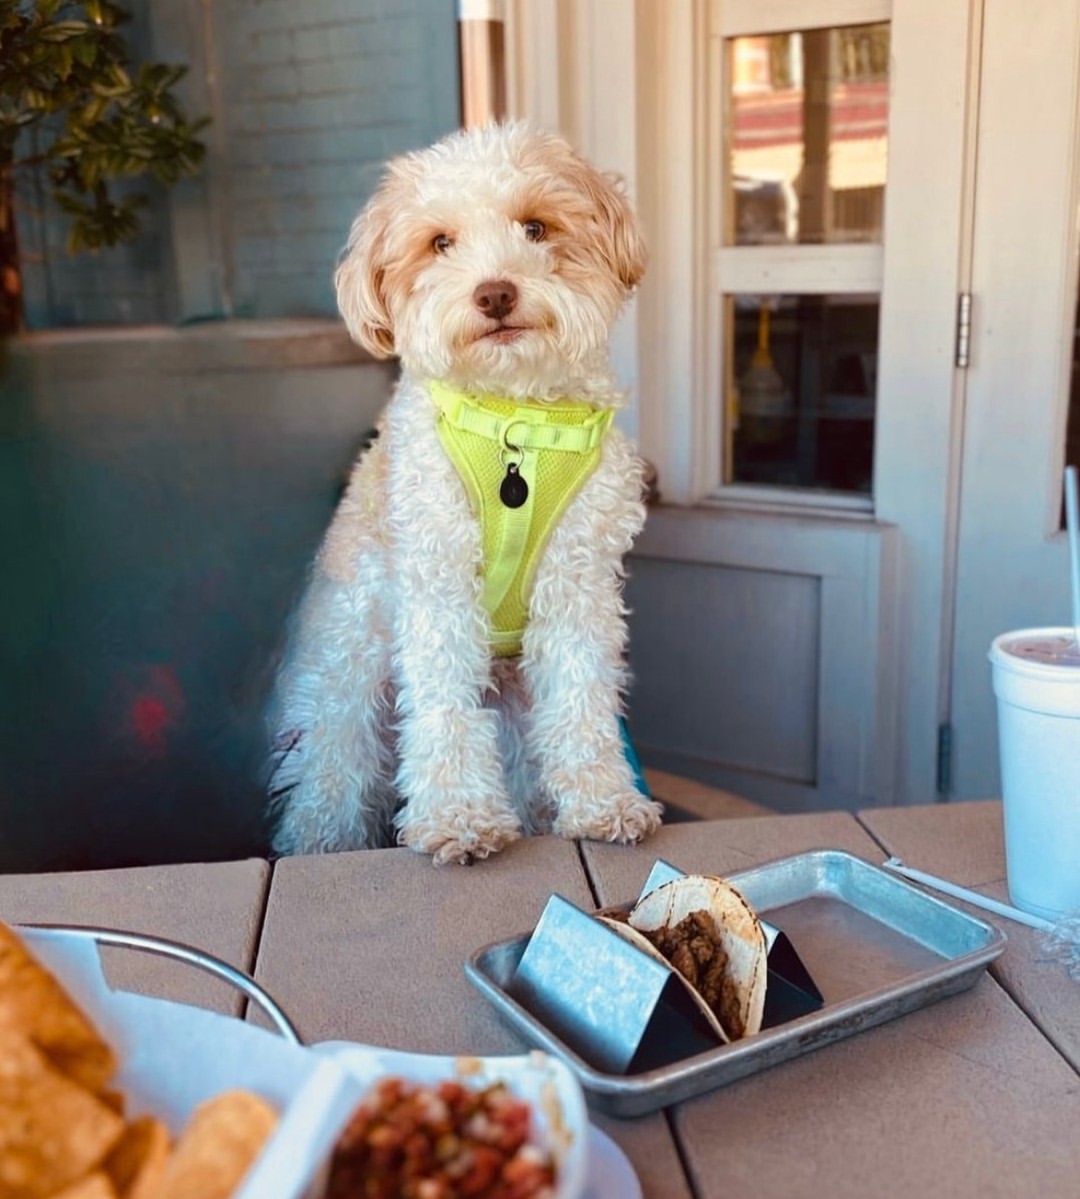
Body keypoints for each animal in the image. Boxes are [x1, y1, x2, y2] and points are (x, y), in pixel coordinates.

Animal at [264, 124, 661, 863]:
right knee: (332, 783)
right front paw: (460, 817)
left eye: (535, 227)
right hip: (348, 695)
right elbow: (445, 706)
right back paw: (322, 842)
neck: (516, 423)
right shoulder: (437, 581)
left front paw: (605, 804)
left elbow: (583, 698)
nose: (495, 293)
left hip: (513, 713)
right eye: (440, 242)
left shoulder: (578, 583)